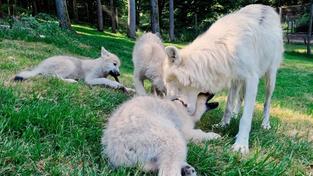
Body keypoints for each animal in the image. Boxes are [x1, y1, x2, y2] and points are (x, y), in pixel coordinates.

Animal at [162, 4, 282, 154]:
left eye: (169, 84)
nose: (167, 105)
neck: (224, 48)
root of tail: (267, 7)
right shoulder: (234, 77)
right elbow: (228, 105)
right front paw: (223, 125)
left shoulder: (252, 79)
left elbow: (246, 118)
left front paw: (241, 145)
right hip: (238, 81)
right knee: (239, 99)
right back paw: (235, 115)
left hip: (270, 78)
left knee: (267, 102)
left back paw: (265, 124)